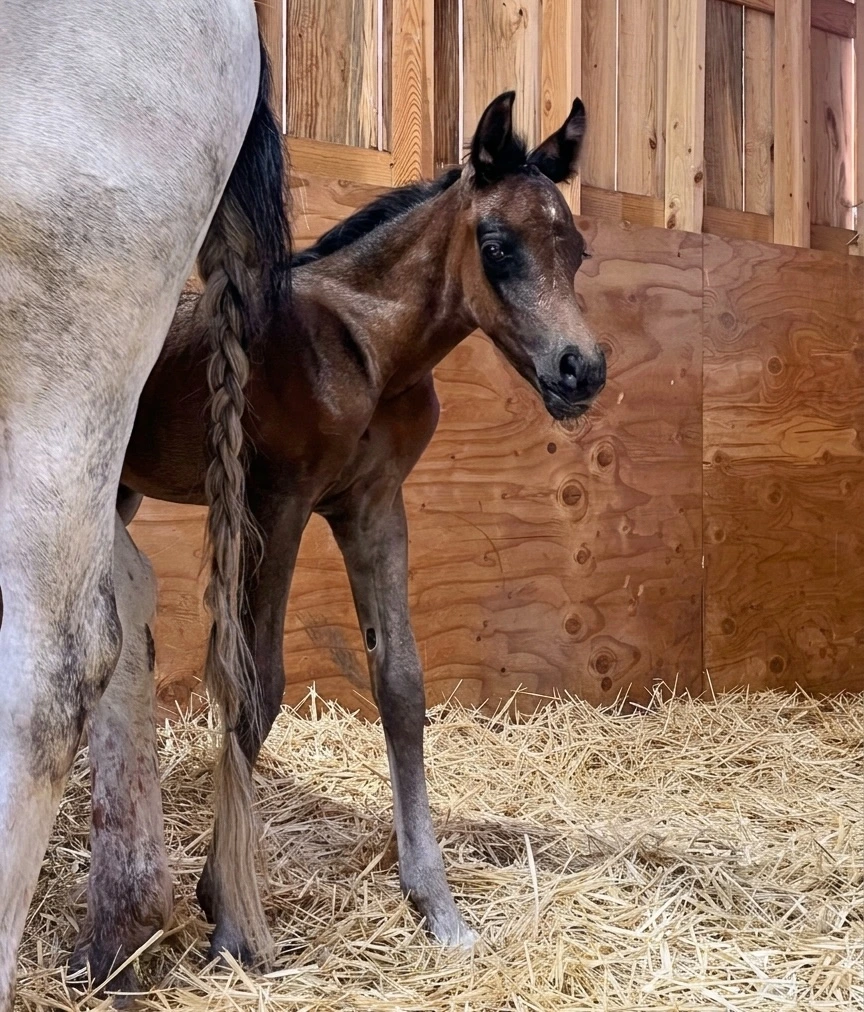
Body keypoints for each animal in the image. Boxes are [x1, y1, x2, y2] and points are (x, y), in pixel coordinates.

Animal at [119, 91, 605, 954]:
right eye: (496, 246)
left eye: (575, 248)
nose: (581, 370)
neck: (368, 350)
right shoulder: (276, 502)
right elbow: (257, 684)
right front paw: (229, 912)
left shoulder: (374, 504)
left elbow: (401, 683)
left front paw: (437, 906)